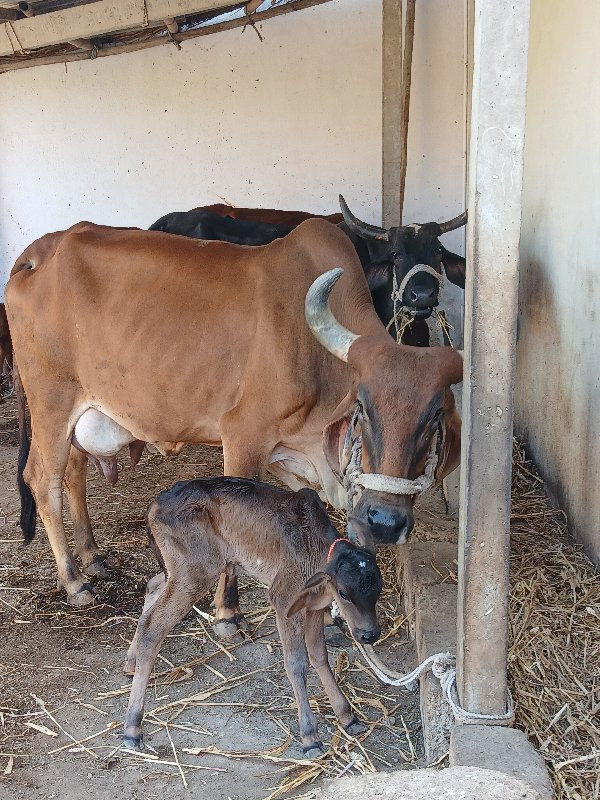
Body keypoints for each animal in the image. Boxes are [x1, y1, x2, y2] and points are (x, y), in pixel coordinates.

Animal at [7, 216, 462, 608]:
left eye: (434, 417)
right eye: (363, 408)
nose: (386, 522)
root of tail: (41, 251)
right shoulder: (245, 434)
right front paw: (228, 611)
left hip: (81, 414)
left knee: (74, 473)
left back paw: (93, 557)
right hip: (51, 402)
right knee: (43, 480)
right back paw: (73, 581)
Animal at [123, 478, 382, 760]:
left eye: (378, 590)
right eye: (344, 593)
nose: (370, 634)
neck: (313, 546)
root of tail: (156, 504)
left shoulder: (313, 605)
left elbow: (319, 655)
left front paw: (347, 716)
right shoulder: (284, 598)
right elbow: (296, 663)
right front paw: (310, 737)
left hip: (182, 571)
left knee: (153, 587)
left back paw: (131, 663)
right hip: (195, 572)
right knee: (153, 629)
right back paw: (132, 727)